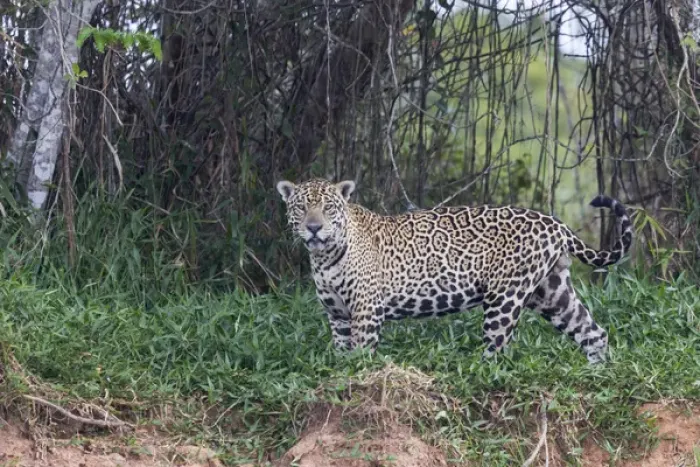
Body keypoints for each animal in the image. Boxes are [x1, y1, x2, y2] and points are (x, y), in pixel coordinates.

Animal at [276, 178, 633, 364]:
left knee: (499, 348)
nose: (313, 228)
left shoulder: (365, 309)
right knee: (592, 331)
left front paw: (361, 378)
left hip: (504, 298)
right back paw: (597, 372)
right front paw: (342, 373)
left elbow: (362, 351)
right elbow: (341, 352)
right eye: (301, 207)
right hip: (552, 292)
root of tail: (555, 223)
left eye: (328, 208)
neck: (324, 257)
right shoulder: (337, 315)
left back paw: (483, 376)